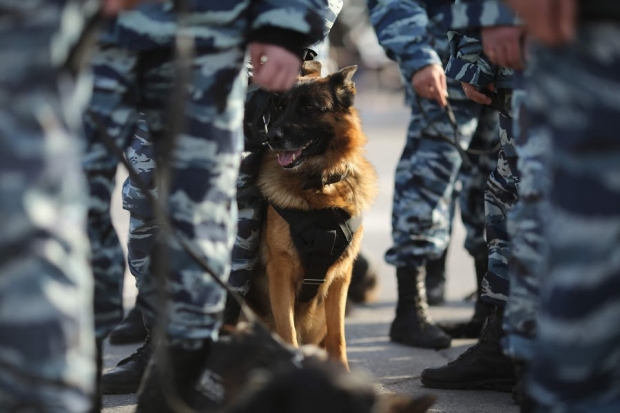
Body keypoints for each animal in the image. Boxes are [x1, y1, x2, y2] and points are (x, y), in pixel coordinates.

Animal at [242, 60, 378, 366]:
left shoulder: (341, 277)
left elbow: (338, 336)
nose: (271, 138)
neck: (320, 186)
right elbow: (288, 332)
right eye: (279, 107)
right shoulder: (281, 271)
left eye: (308, 107)